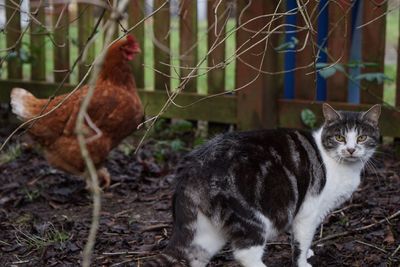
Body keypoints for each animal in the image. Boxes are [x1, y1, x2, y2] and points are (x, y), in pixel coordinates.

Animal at [145, 103, 382, 266]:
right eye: (340, 137)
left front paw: (308, 253)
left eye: (361, 138)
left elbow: (300, 241)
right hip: (251, 217)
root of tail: (192, 167)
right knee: (245, 254)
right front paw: (303, 261)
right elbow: (301, 241)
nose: (350, 149)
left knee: (196, 255)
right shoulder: (308, 211)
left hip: (206, 231)